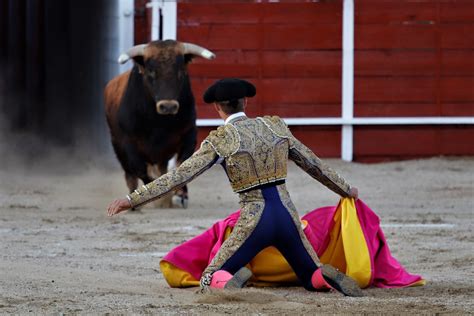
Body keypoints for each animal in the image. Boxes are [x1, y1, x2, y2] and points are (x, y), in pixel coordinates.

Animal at [104, 39, 216, 207]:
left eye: (180, 72)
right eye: (151, 73)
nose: (168, 106)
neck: (159, 123)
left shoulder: (189, 133)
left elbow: (183, 163)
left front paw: (180, 194)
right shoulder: (128, 142)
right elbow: (141, 170)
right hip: (117, 145)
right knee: (130, 173)